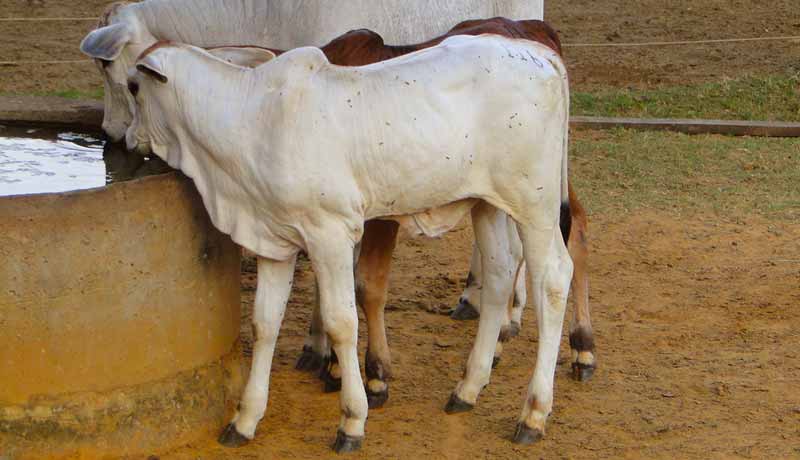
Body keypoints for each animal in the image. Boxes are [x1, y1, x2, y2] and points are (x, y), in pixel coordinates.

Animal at [125, 34, 572, 452]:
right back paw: (468, 389)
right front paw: (245, 419)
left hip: (535, 204)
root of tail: (538, 54)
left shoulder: (330, 234)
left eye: (132, 86)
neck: (250, 120)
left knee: (552, 278)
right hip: (487, 204)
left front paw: (352, 421)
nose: (128, 139)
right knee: (498, 273)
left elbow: (341, 323)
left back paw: (533, 413)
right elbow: (264, 323)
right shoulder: (274, 240)